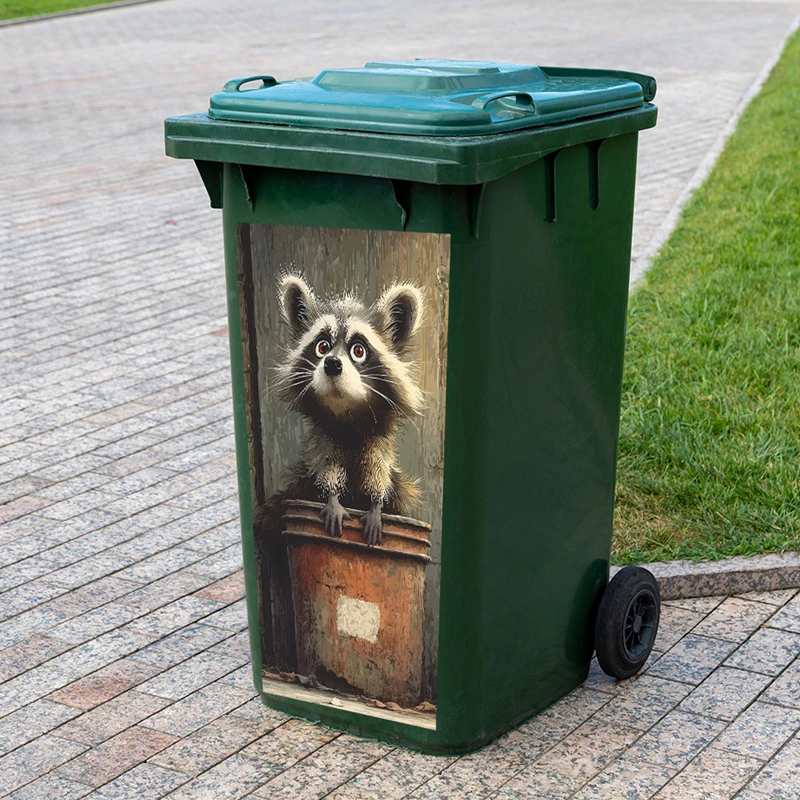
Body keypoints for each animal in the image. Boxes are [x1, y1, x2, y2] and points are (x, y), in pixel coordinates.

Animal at [271, 274, 425, 545]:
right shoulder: (325, 440)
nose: (332, 363)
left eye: (358, 350)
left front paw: (375, 506)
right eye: (322, 347)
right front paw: (333, 499)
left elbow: (379, 475)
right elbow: (327, 469)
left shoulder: (377, 445)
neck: (346, 414)